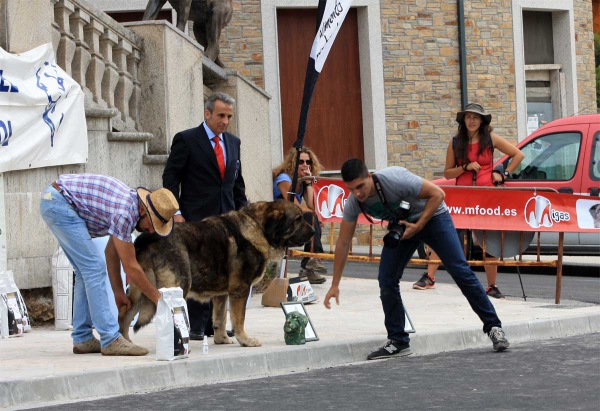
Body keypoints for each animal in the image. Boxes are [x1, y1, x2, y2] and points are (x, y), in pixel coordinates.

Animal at [117, 200, 314, 348]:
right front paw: (245, 340)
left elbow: (220, 319)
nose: (313, 231)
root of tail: (147, 238)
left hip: (142, 289)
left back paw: (127, 344)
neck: (258, 227)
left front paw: (222, 339)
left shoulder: (221, 295)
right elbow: (238, 319)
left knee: (124, 315)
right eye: (298, 219)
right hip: (177, 286)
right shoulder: (240, 290)